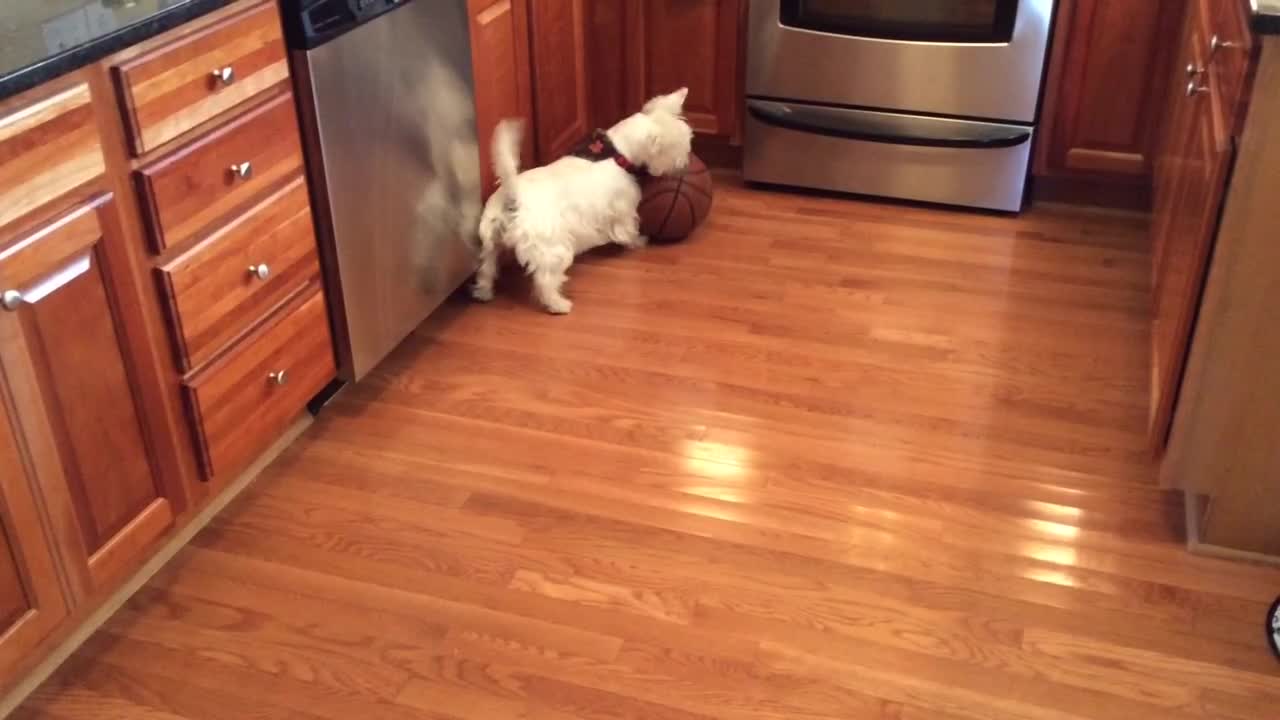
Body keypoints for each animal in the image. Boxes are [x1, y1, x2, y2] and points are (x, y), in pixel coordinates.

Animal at [471, 87, 691, 311]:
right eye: (679, 146)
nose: (684, 164)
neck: (617, 153)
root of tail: (513, 194)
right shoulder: (623, 210)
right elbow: (628, 230)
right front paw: (639, 241)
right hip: (552, 247)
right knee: (545, 279)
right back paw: (560, 305)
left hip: (490, 240)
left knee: (486, 268)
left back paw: (484, 293)